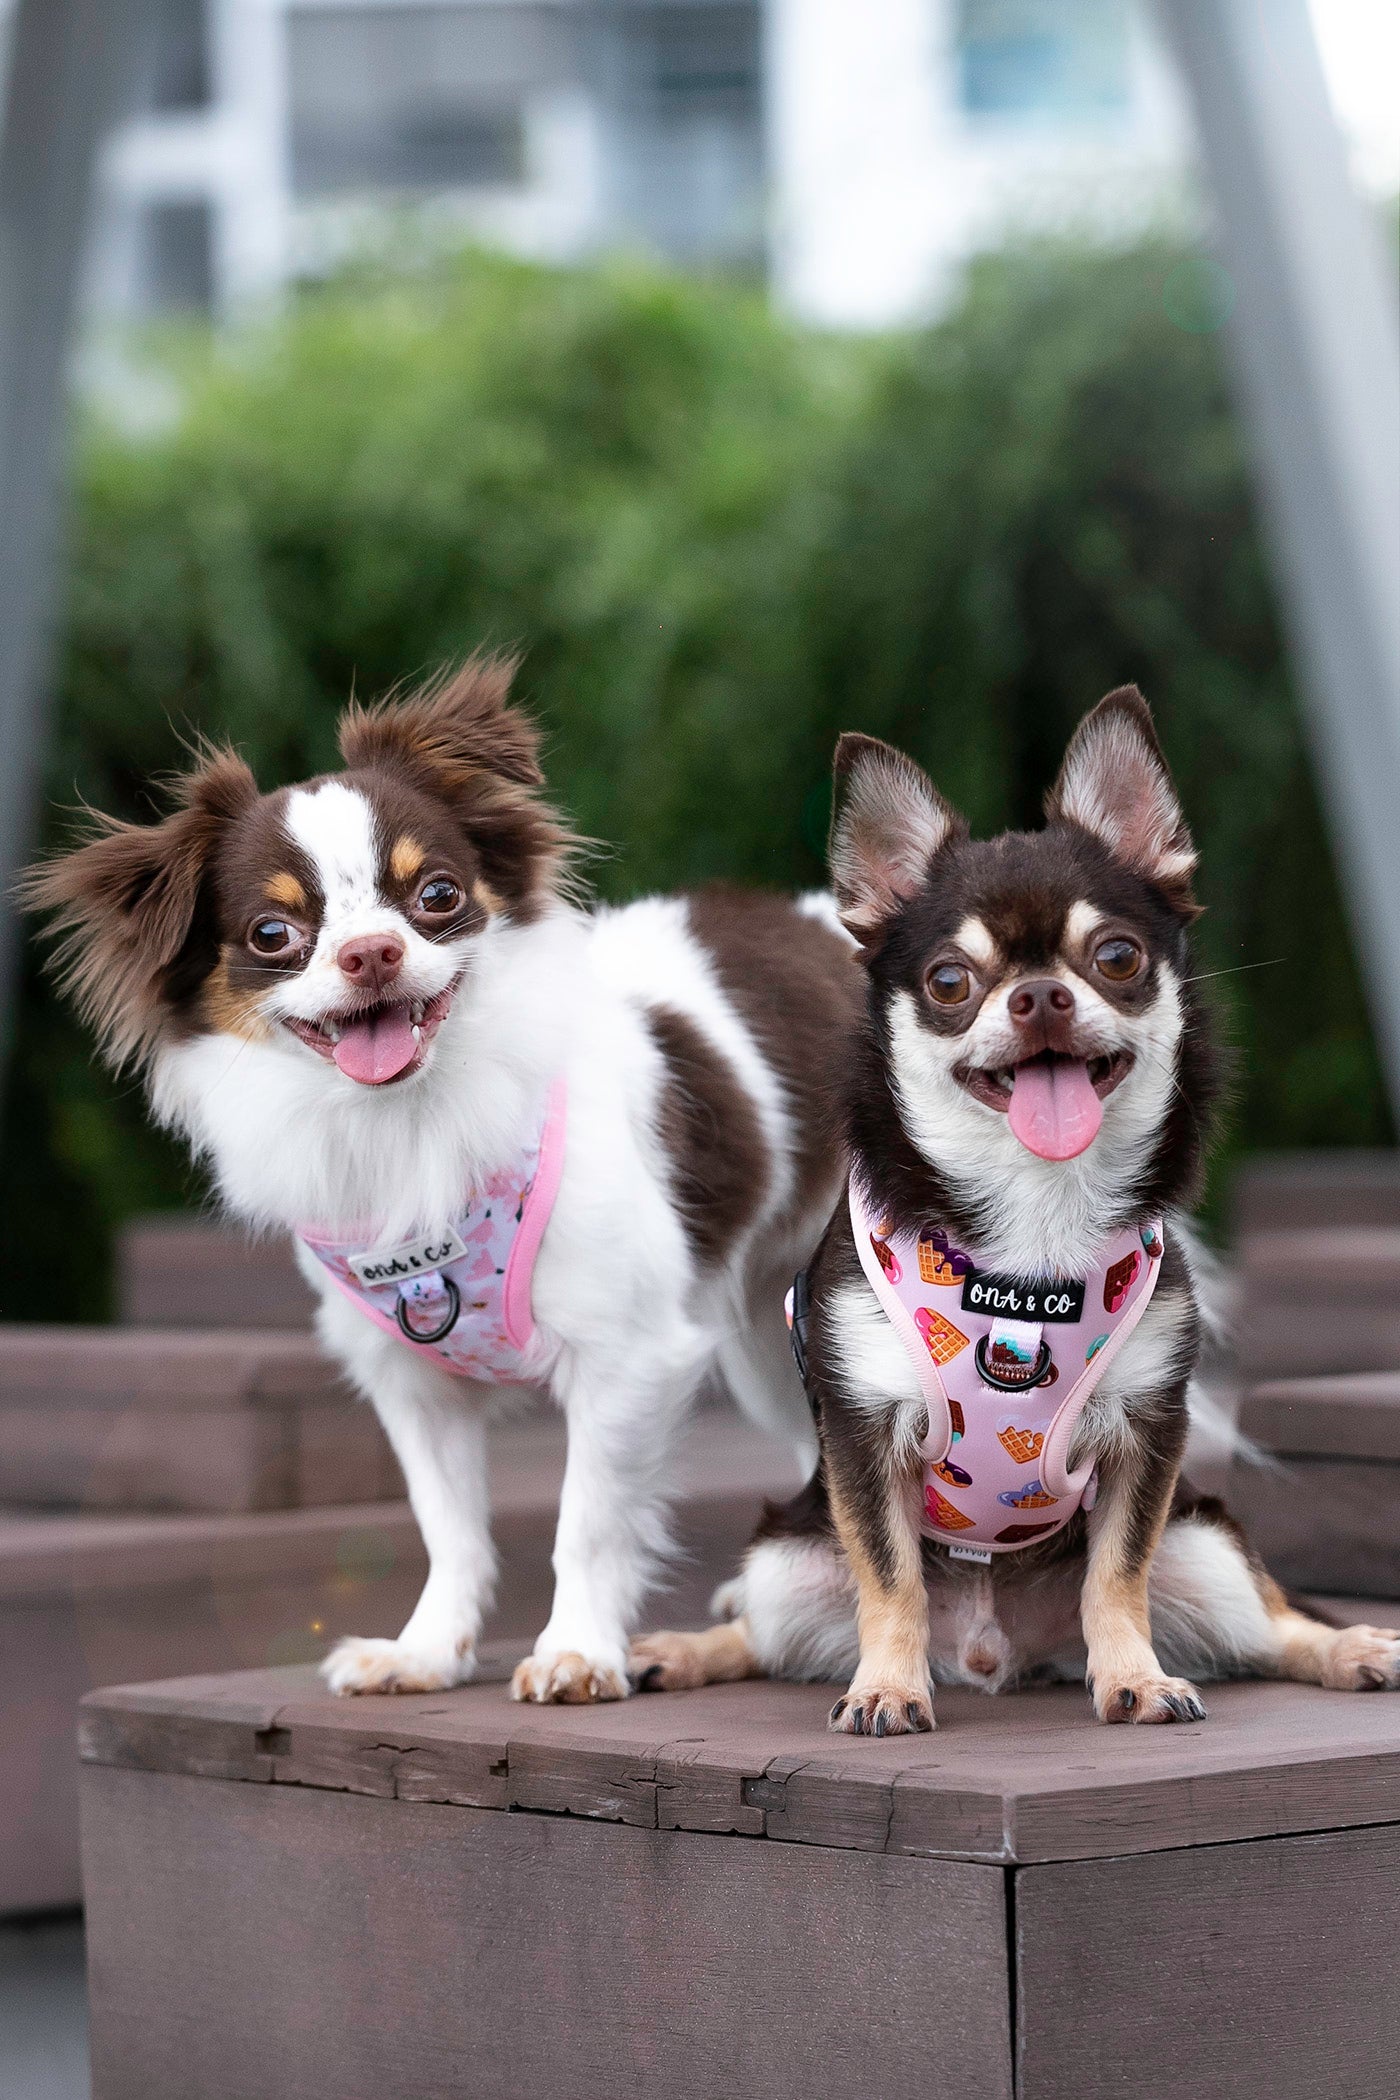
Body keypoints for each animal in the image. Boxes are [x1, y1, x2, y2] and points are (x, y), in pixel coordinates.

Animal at [30, 663, 864, 1696]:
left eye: (434, 893)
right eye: (271, 933)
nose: (371, 952)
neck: (411, 1122)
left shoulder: (627, 1357)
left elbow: (587, 1521)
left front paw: (577, 1650)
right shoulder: (412, 1383)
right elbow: (448, 1527)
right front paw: (427, 1649)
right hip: (767, 1344)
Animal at [633, 697, 1400, 1730]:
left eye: (1116, 956)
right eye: (950, 981)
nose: (1038, 995)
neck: (1037, 1216)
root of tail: (994, 1653)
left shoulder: (1148, 1434)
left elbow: (1116, 1575)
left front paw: (1135, 1679)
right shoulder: (862, 1435)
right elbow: (892, 1580)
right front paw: (885, 1689)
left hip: (1204, 1545)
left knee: (1272, 1626)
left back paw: (1352, 1646)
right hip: (786, 1562)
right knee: (759, 1634)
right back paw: (675, 1652)